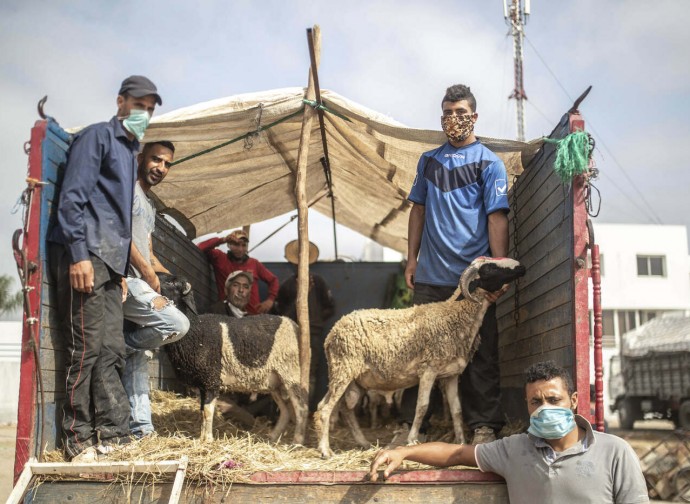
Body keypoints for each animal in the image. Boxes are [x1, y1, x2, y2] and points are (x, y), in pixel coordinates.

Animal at [157, 274, 308, 442]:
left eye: (172, 283)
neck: (194, 329)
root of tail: (294, 325)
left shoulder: (211, 379)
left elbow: (208, 411)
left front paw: (208, 440)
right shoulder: (203, 383)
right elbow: (202, 411)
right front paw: (202, 438)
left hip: (291, 373)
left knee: (301, 407)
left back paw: (297, 441)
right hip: (275, 382)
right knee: (286, 411)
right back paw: (273, 437)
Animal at [314, 258, 524, 458]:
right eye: (489, 269)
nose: (521, 267)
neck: (456, 315)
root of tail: (331, 334)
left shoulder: (451, 375)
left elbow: (456, 411)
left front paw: (461, 442)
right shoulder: (428, 370)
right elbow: (422, 407)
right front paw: (412, 439)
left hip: (356, 379)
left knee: (345, 409)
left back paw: (363, 443)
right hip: (343, 369)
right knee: (325, 409)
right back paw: (325, 451)